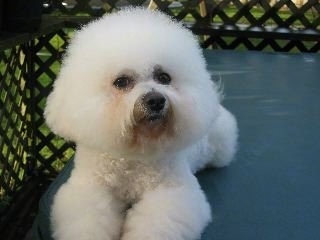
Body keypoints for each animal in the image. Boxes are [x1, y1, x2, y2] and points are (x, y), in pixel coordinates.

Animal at [46, 7, 239, 240]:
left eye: (164, 77)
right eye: (121, 82)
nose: (155, 101)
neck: (134, 152)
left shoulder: (171, 192)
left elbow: (157, 223)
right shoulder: (90, 189)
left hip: (220, 147)